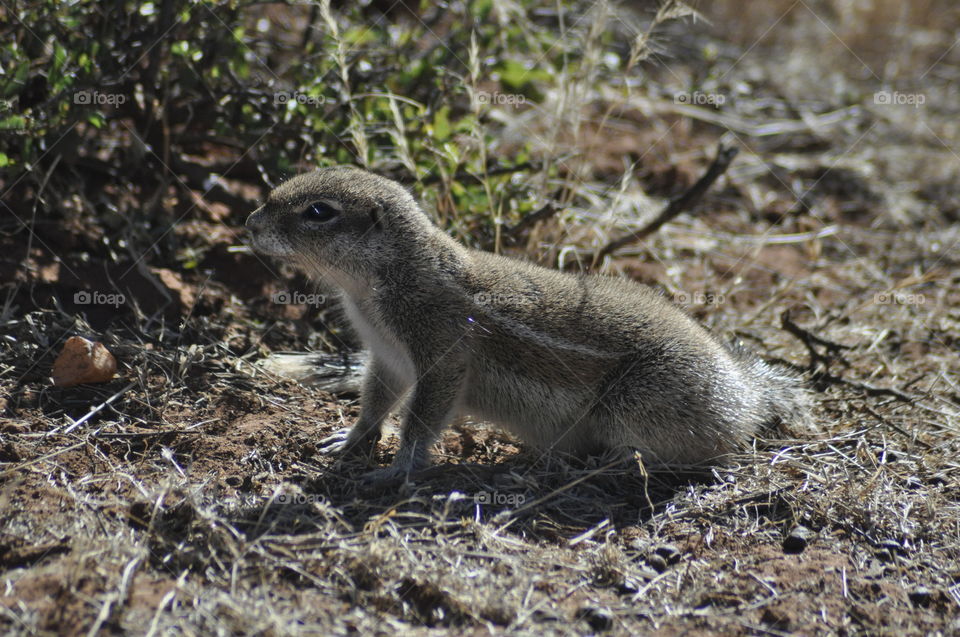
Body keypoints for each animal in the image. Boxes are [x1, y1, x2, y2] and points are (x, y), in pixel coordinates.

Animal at [245, 166, 809, 481]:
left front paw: (398, 470)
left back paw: (605, 463)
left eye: (319, 211)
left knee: (690, 454)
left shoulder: (441, 351)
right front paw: (351, 439)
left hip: (639, 406)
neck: (380, 282)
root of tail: (745, 393)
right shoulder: (387, 356)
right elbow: (377, 402)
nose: (250, 224)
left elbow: (423, 417)